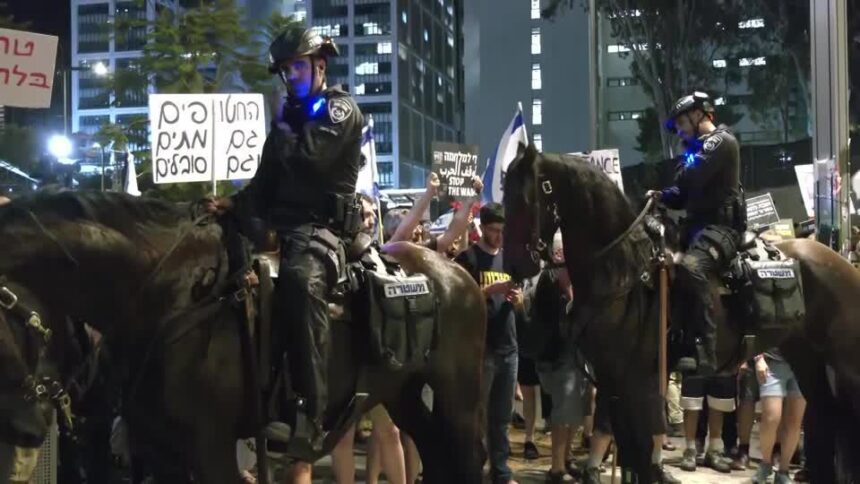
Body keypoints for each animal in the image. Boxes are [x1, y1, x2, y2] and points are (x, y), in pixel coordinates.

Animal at [0, 192, 488, 484]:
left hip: (458, 400)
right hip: (402, 394)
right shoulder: (161, 454)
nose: (27, 432)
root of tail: (453, 270)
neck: (169, 297)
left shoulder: (211, 450)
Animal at [500, 145, 860, 484]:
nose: (515, 266)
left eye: (525, 198)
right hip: (806, 357)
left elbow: (642, 456)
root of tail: (840, 263)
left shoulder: (636, 381)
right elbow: (631, 452)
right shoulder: (613, 380)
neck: (624, 269)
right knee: (826, 420)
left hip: (844, 366)